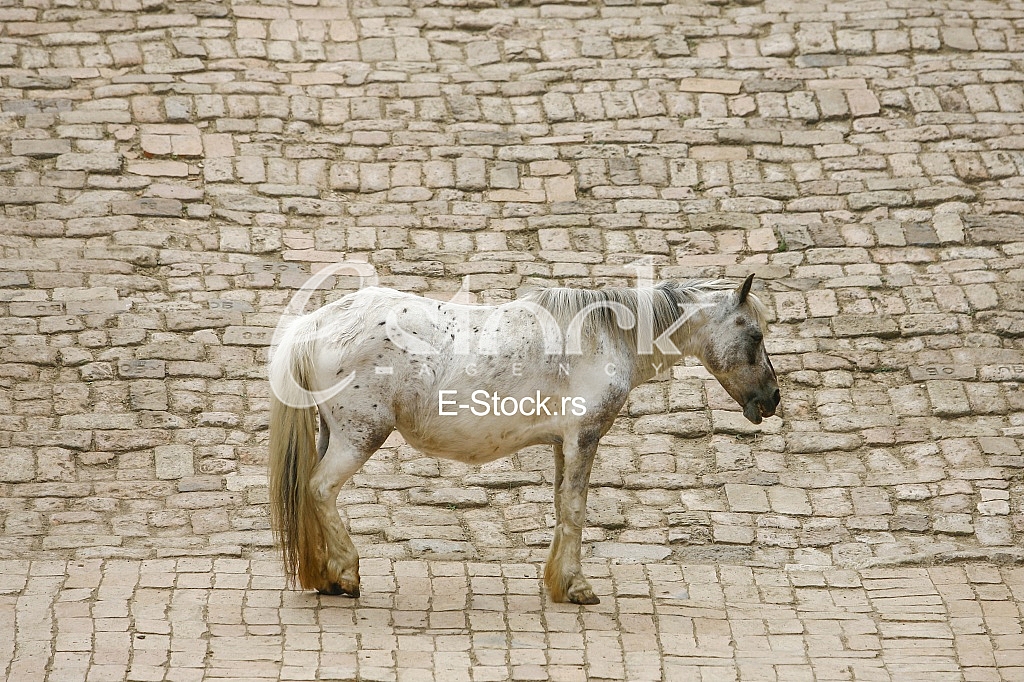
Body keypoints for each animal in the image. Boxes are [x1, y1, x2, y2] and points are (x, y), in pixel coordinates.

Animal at [268, 274, 779, 605]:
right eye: (755, 336)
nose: (773, 399)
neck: (605, 337)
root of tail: (313, 326)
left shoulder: (562, 444)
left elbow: (561, 507)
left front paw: (558, 581)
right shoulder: (584, 438)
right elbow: (575, 510)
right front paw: (577, 588)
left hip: (331, 433)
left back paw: (324, 575)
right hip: (359, 436)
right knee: (320, 489)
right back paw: (345, 574)